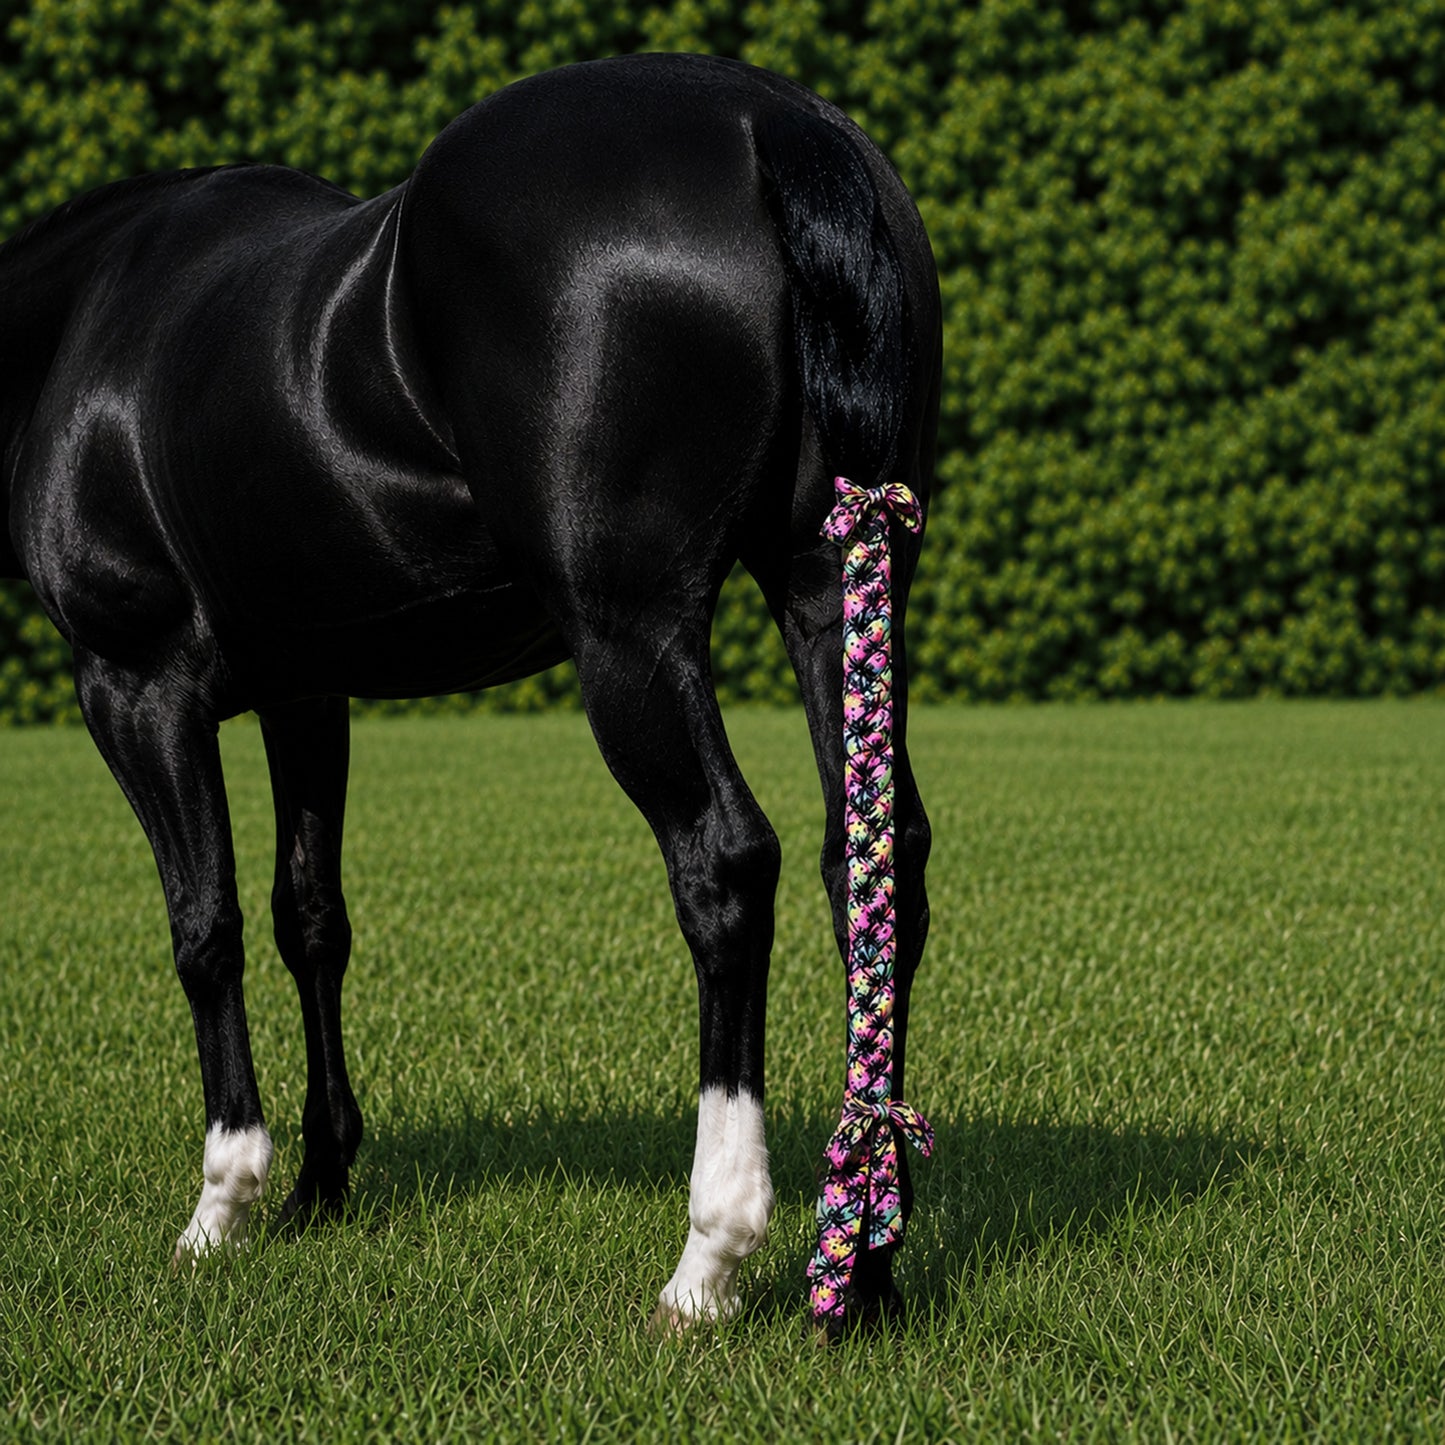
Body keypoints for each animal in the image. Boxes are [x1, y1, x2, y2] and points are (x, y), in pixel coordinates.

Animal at [1, 52, 939, 1330]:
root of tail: (768, 122)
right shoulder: (307, 693)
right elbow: (309, 918)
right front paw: (319, 1183)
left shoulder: (136, 685)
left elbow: (206, 927)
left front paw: (223, 1204)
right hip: (827, 582)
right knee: (874, 862)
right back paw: (865, 1255)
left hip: (629, 630)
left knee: (725, 861)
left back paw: (709, 1256)